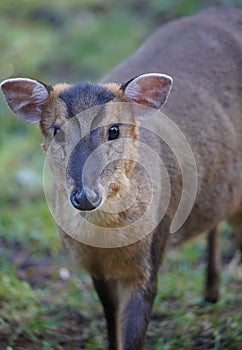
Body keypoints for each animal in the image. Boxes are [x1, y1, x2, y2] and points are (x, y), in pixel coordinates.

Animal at [0, 5, 241, 350]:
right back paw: (210, 293)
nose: (85, 195)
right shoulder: (95, 268)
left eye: (114, 130)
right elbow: (111, 322)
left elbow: (134, 334)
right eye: (57, 130)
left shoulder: (151, 256)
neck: (108, 243)